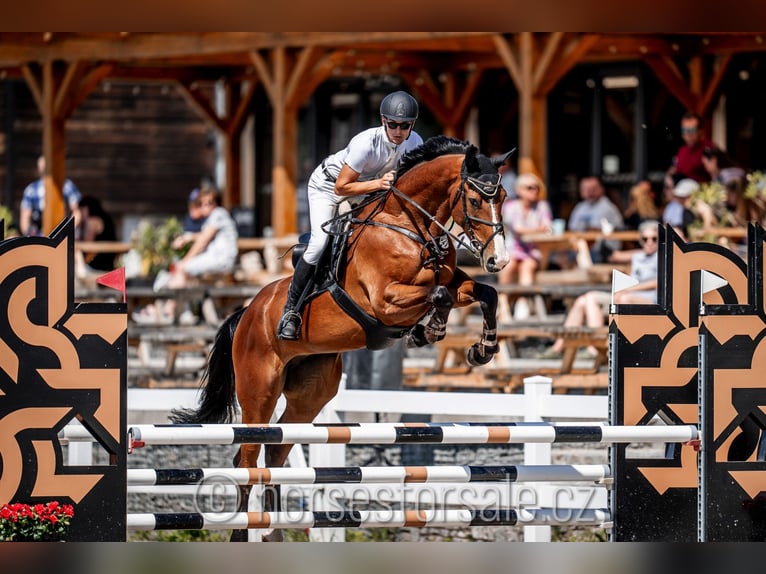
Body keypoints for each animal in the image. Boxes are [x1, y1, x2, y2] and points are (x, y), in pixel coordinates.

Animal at [171, 137, 512, 544]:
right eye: (475, 200)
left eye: (503, 196)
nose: (498, 261)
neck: (406, 225)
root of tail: (246, 314)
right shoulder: (385, 300)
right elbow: (439, 296)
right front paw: (428, 331)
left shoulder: (452, 279)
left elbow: (484, 294)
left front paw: (482, 350)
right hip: (259, 392)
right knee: (248, 457)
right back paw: (243, 532)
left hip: (309, 396)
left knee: (275, 453)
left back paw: (273, 531)